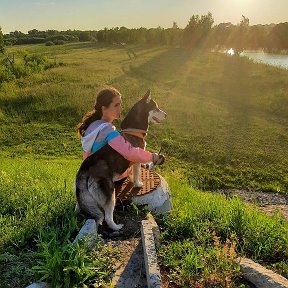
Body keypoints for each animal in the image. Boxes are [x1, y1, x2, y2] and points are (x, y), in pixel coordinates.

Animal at [75, 91, 166, 231]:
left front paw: (132, 179)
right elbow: (137, 173)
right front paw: (138, 183)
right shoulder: (136, 159)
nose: (166, 115)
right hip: (110, 194)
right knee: (107, 217)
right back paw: (117, 227)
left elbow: (132, 172)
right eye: (156, 108)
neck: (134, 130)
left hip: (85, 197)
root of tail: (85, 169)